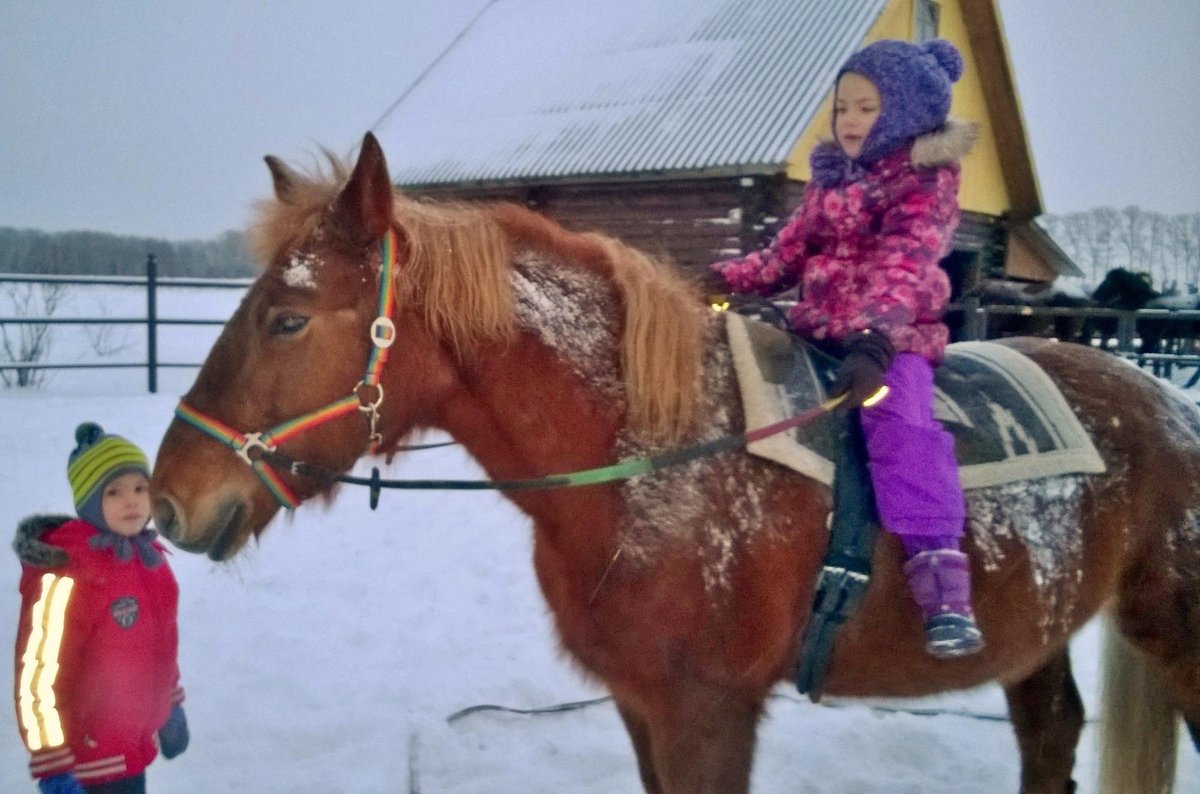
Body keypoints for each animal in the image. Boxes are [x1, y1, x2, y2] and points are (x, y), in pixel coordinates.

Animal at [150, 133, 1200, 791]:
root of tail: (1168, 406)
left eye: (288, 320)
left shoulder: (709, 715)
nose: (168, 503)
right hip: (1038, 639)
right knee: (1051, 739)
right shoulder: (639, 704)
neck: (654, 465)